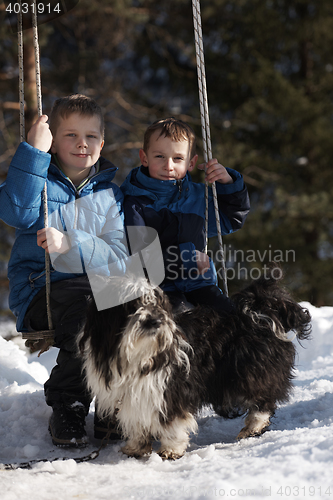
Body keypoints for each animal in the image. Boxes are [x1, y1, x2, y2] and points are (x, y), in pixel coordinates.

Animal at [78, 270, 312, 460]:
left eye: (157, 305)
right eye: (131, 305)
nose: (154, 321)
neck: (139, 355)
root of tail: (259, 314)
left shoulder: (171, 391)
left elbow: (172, 423)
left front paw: (171, 450)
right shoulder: (132, 395)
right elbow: (137, 423)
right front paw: (136, 447)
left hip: (250, 371)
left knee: (264, 398)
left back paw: (254, 426)